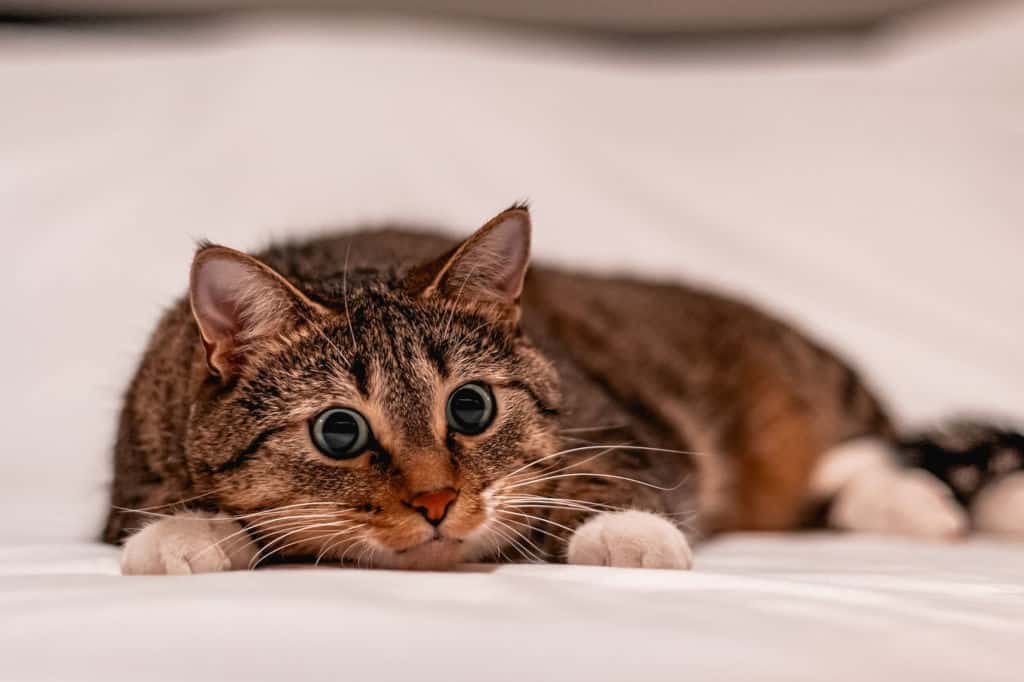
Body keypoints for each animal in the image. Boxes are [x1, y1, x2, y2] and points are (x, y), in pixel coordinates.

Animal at [105, 204, 1024, 569]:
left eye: (470, 406)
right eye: (340, 431)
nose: (437, 502)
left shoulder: (623, 425)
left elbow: (608, 478)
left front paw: (629, 534)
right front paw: (184, 535)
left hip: (806, 385)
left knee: (875, 451)